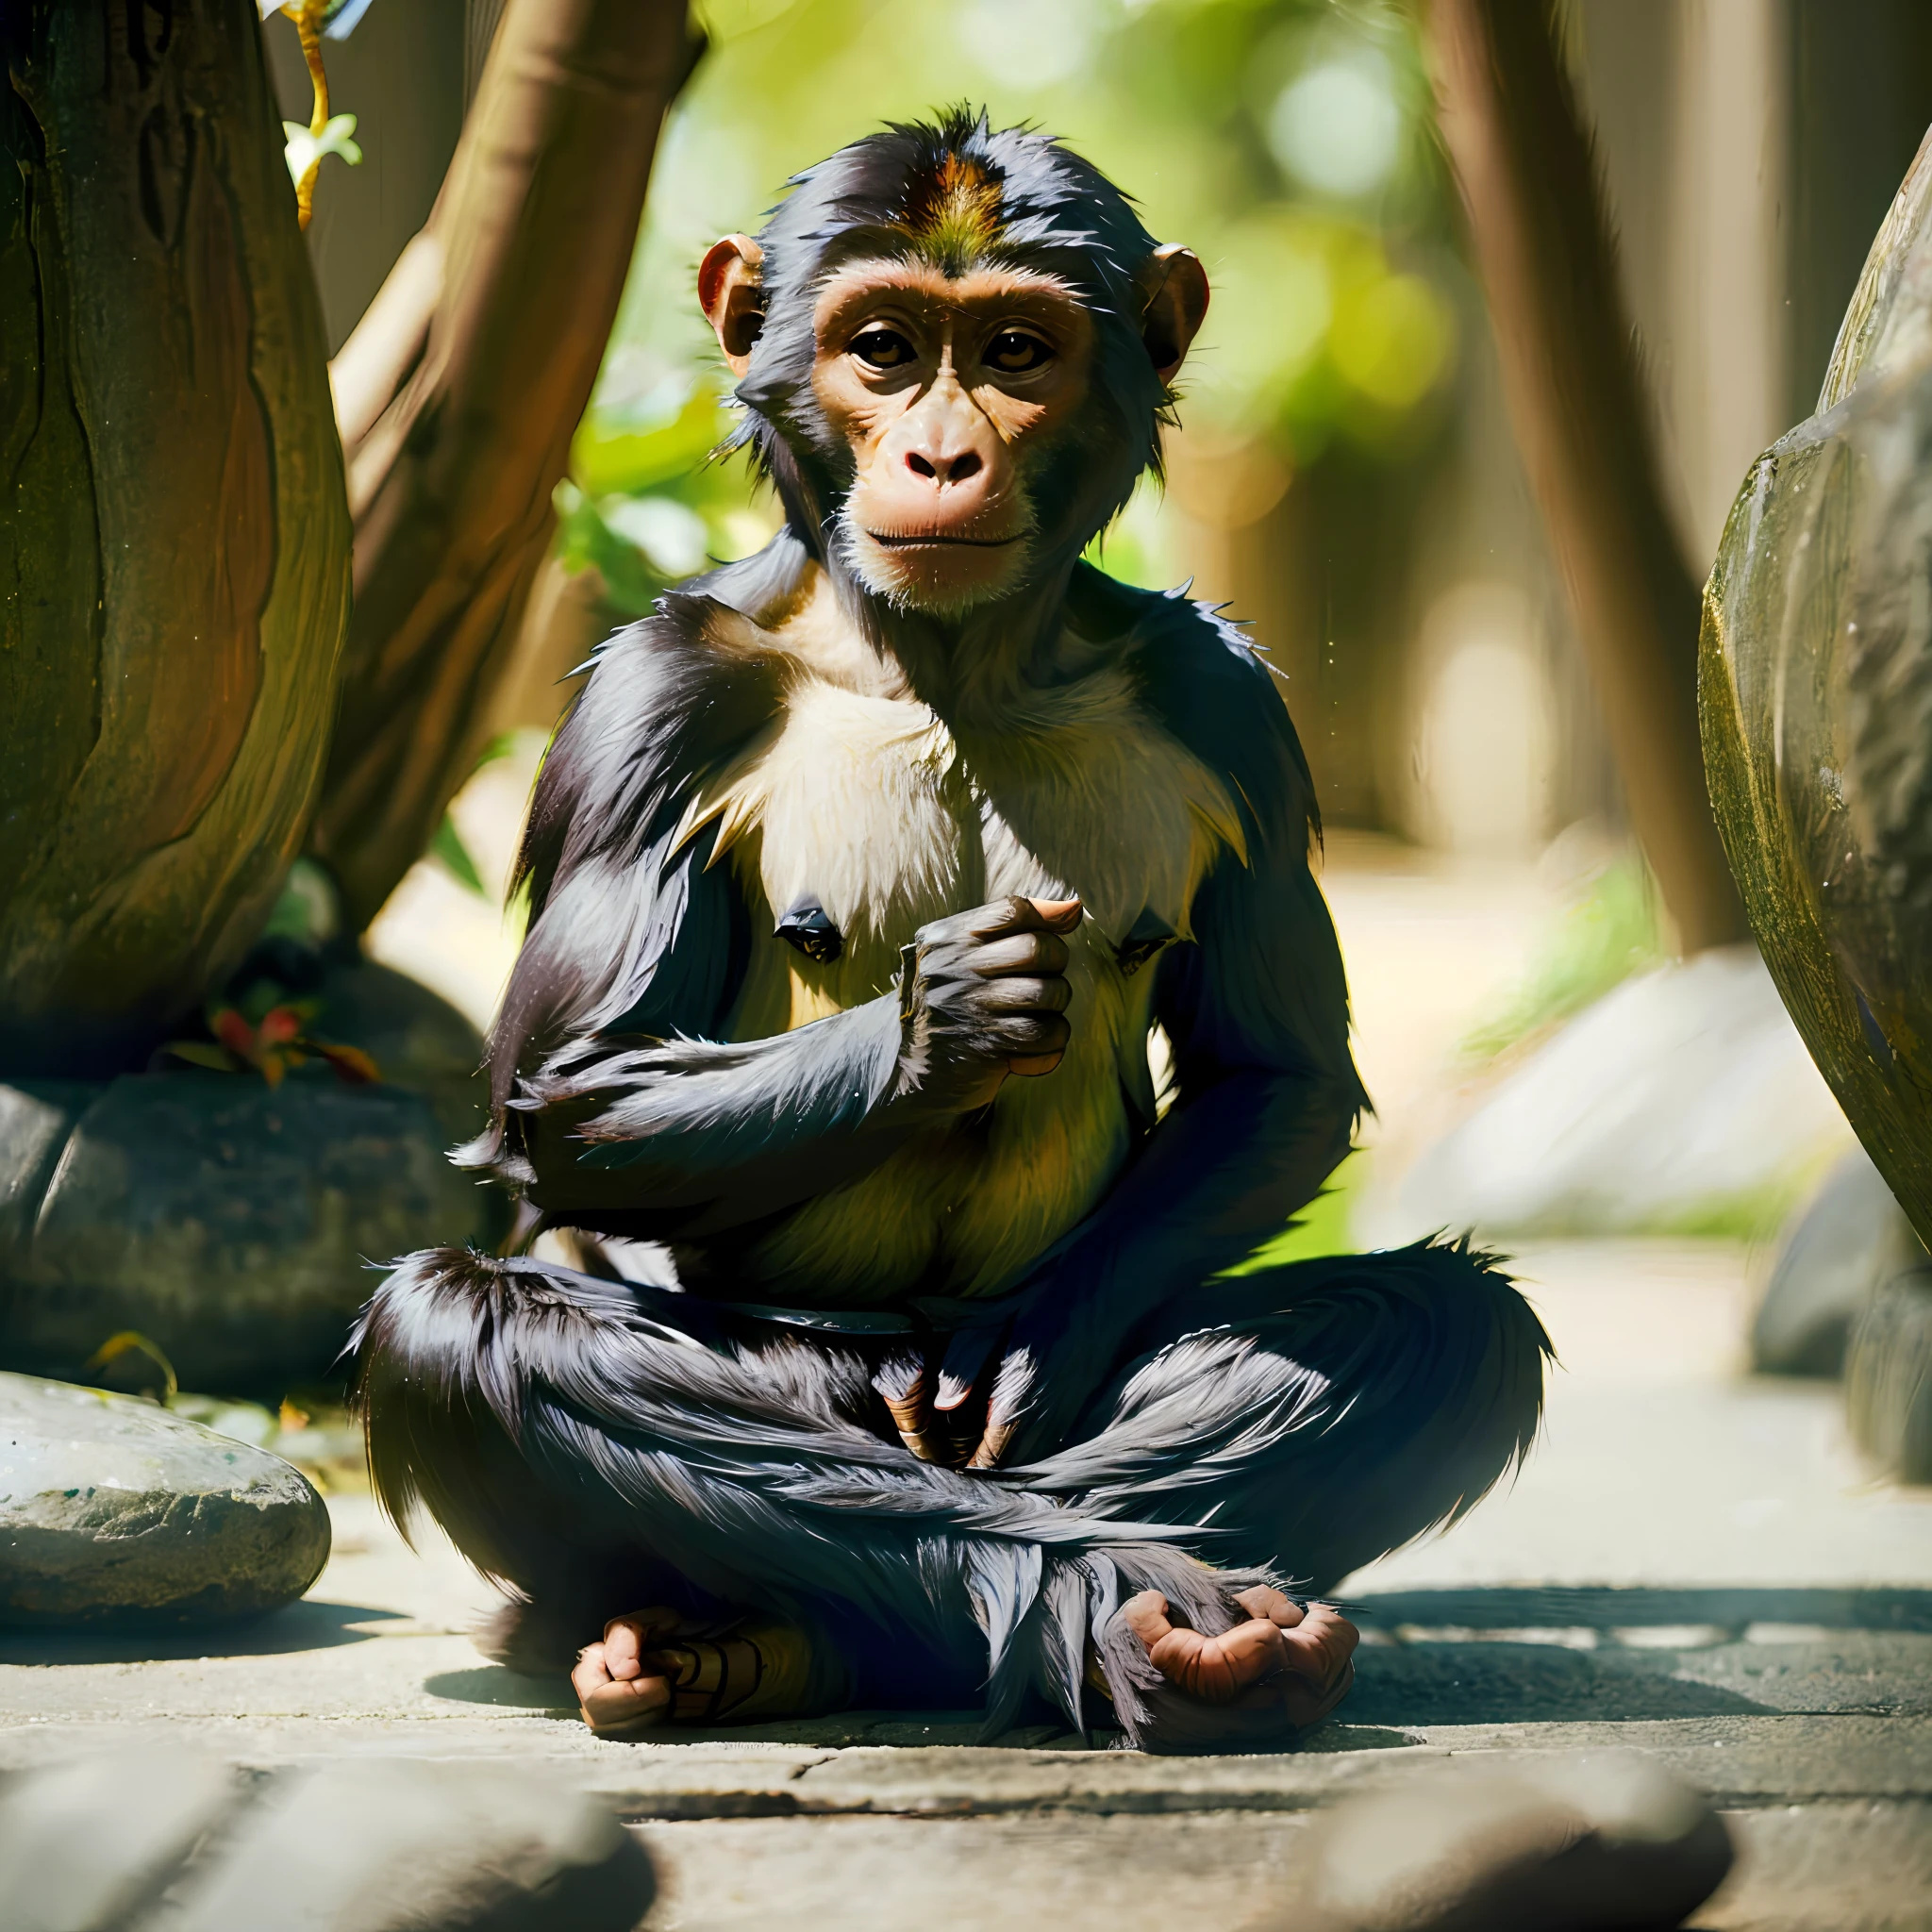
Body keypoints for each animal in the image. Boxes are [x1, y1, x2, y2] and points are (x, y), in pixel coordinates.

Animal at [351, 112, 1553, 1761]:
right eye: (882, 348)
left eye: (1015, 351)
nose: (940, 449)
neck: (949, 662)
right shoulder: (652, 706)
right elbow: (573, 1090)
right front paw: (954, 1015)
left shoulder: (1230, 700)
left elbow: (1279, 1076)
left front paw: (1031, 1343)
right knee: (469, 1329)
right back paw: (1005, 1604)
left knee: (1438, 1320)